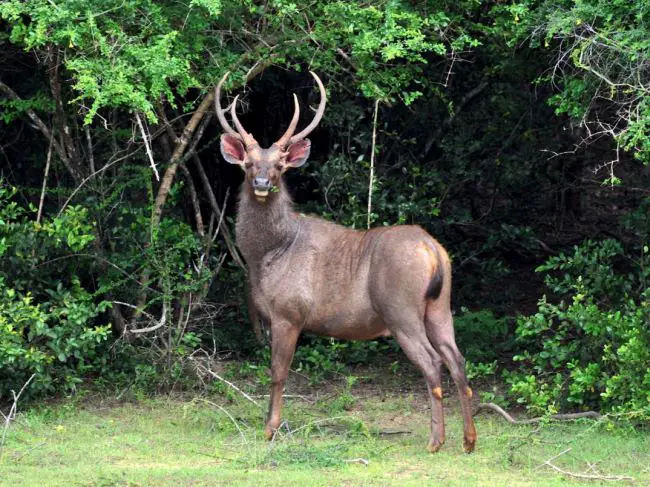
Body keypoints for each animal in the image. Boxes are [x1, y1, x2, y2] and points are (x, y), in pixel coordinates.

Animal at [215, 71, 474, 454]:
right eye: (248, 164)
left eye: (279, 166)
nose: (261, 182)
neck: (267, 255)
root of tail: (433, 252)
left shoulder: (289, 312)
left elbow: (278, 372)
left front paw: (270, 428)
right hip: (440, 306)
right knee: (457, 360)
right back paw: (469, 440)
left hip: (400, 308)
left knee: (432, 363)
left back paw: (435, 441)